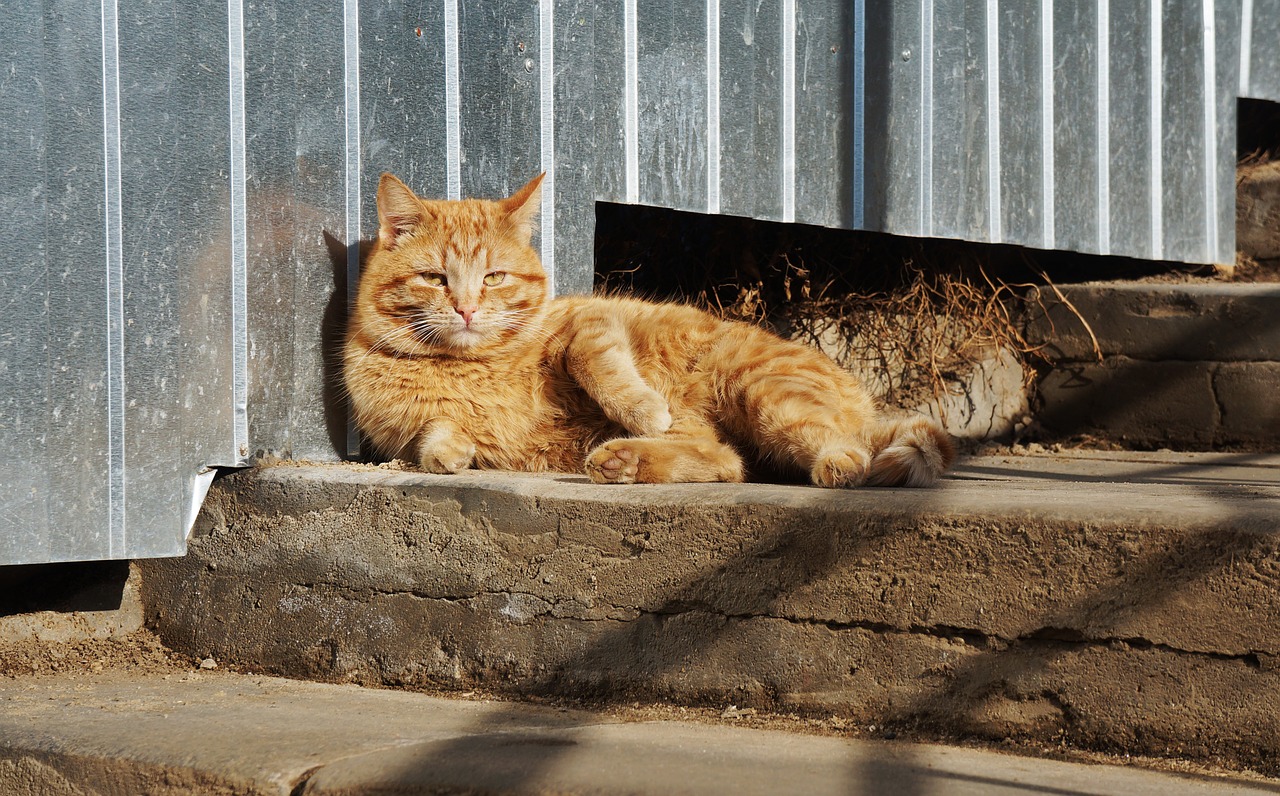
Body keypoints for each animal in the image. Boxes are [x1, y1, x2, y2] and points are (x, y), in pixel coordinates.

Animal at [345, 171, 957, 488]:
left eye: (493, 277)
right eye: (434, 278)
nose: (468, 310)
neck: (475, 365)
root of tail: (866, 405)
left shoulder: (592, 320)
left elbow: (594, 360)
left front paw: (641, 408)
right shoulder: (401, 429)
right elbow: (434, 434)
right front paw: (450, 450)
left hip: (766, 393)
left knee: (815, 449)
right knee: (727, 461)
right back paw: (622, 460)